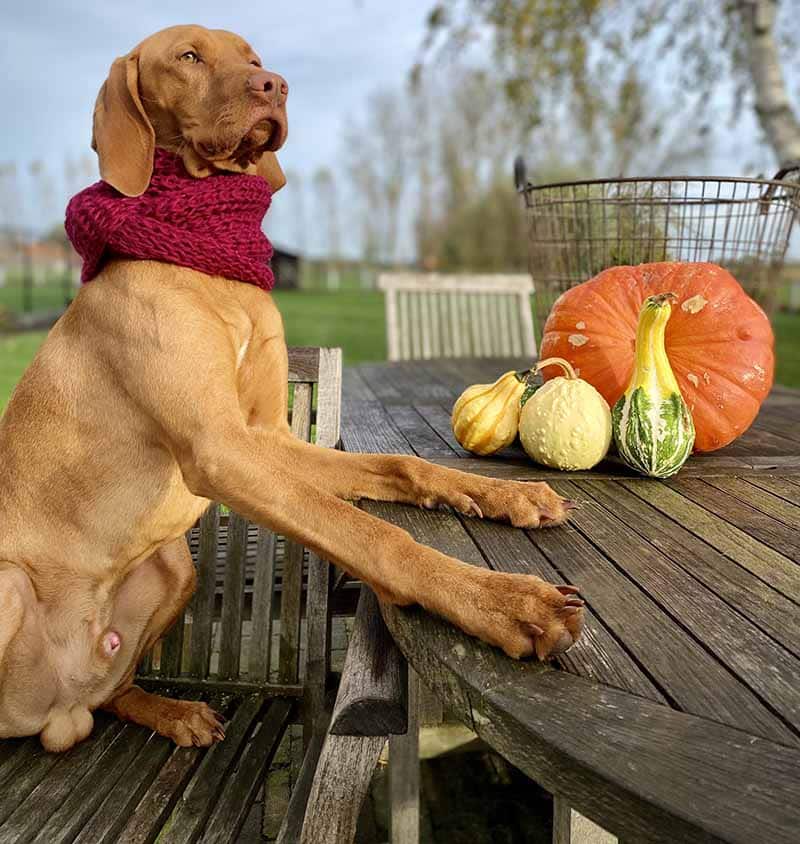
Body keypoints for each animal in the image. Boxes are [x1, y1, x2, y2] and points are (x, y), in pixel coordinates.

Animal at [0, 24, 580, 752]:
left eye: (251, 58)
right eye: (188, 56)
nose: (273, 85)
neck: (211, 262)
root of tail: (55, 712)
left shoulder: (268, 439)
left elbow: (404, 464)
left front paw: (508, 494)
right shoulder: (221, 449)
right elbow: (373, 535)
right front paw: (505, 602)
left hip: (174, 569)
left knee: (114, 693)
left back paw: (176, 713)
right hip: (9, 588)